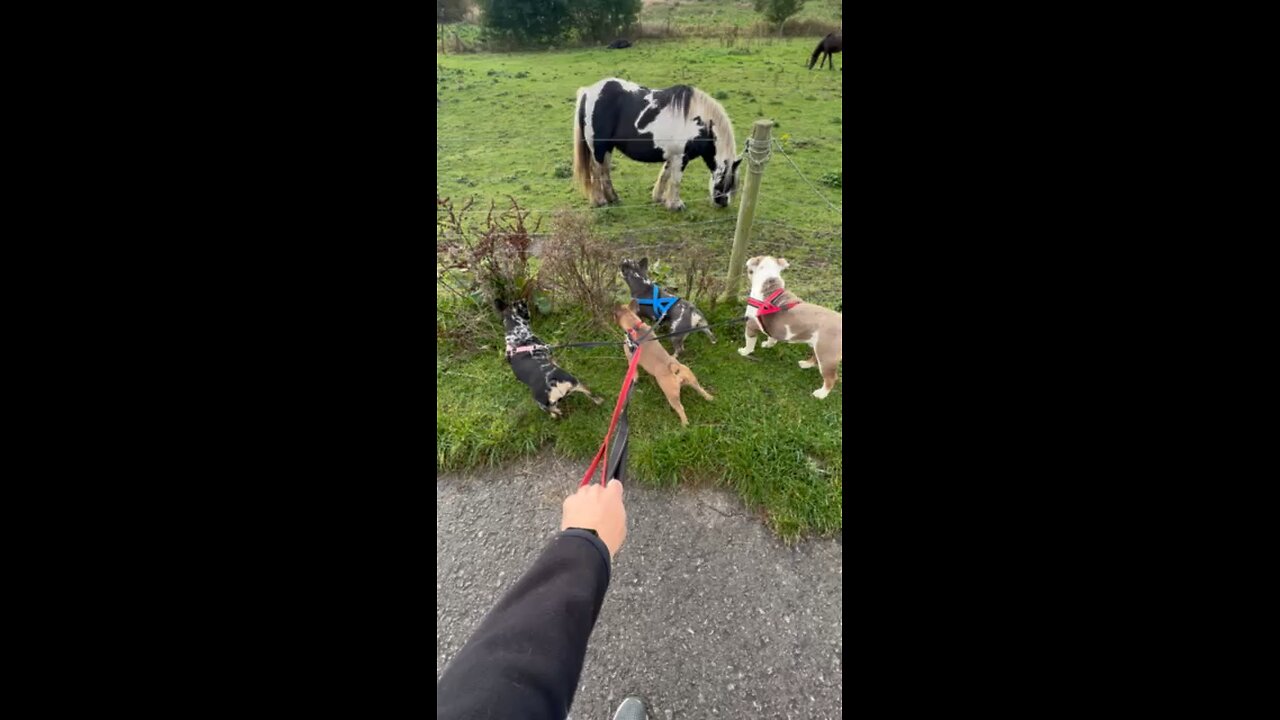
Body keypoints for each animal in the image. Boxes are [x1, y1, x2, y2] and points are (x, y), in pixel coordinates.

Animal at [573, 77, 742, 210]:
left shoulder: (673, 156)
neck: (700, 123)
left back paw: (613, 198)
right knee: (596, 171)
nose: (723, 202)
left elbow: (665, 175)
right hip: (598, 148)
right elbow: (676, 180)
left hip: (607, 147)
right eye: (728, 181)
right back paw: (600, 201)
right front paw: (676, 205)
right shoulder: (681, 157)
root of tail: (587, 92)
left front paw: (659, 198)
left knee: (604, 171)